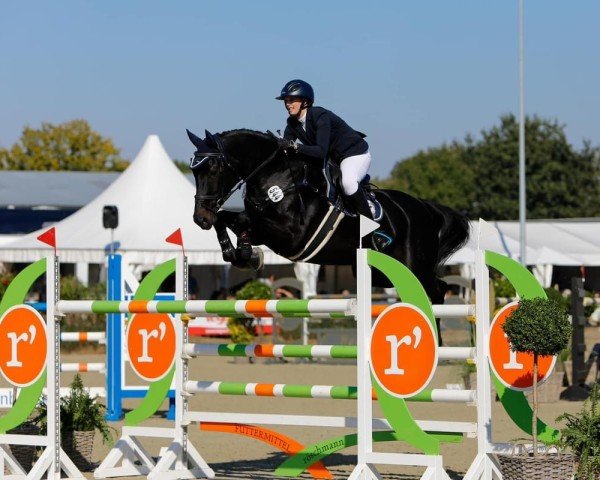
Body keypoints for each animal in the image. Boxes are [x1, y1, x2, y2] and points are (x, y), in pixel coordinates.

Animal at [188, 128, 468, 304]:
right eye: (194, 170)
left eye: (213, 168)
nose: (200, 218)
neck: (277, 176)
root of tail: (425, 208)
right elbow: (226, 220)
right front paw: (242, 253)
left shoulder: (291, 236)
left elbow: (240, 221)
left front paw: (247, 254)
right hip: (383, 272)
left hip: (413, 265)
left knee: (438, 290)